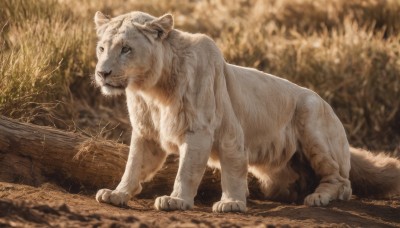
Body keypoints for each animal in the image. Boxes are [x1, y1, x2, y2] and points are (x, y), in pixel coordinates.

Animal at [94, 11, 400, 213]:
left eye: (126, 49)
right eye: (101, 48)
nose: (102, 73)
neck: (153, 89)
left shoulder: (203, 130)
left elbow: (196, 169)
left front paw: (190, 201)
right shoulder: (147, 133)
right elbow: (134, 165)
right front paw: (118, 193)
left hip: (311, 114)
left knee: (343, 182)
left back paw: (318, 197)